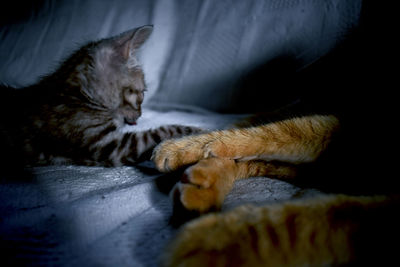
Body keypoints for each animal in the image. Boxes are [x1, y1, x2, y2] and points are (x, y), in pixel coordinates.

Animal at [0, 25, 199, 174]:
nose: (140, 114)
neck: (76, 94)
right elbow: (163, 131)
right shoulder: (110, 146)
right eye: (142, 93)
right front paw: (196, 132)